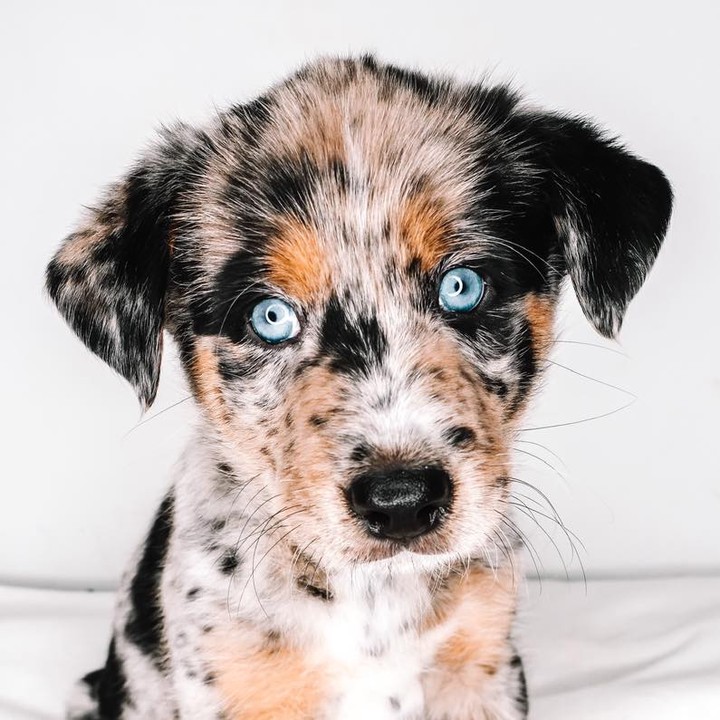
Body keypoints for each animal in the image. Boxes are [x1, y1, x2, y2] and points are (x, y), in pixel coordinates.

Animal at [47, 57, 672, 720]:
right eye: (270, 317)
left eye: (462, 286)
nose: (401, 501)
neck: (376, 594)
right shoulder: (239, 682)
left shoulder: (482, 662)